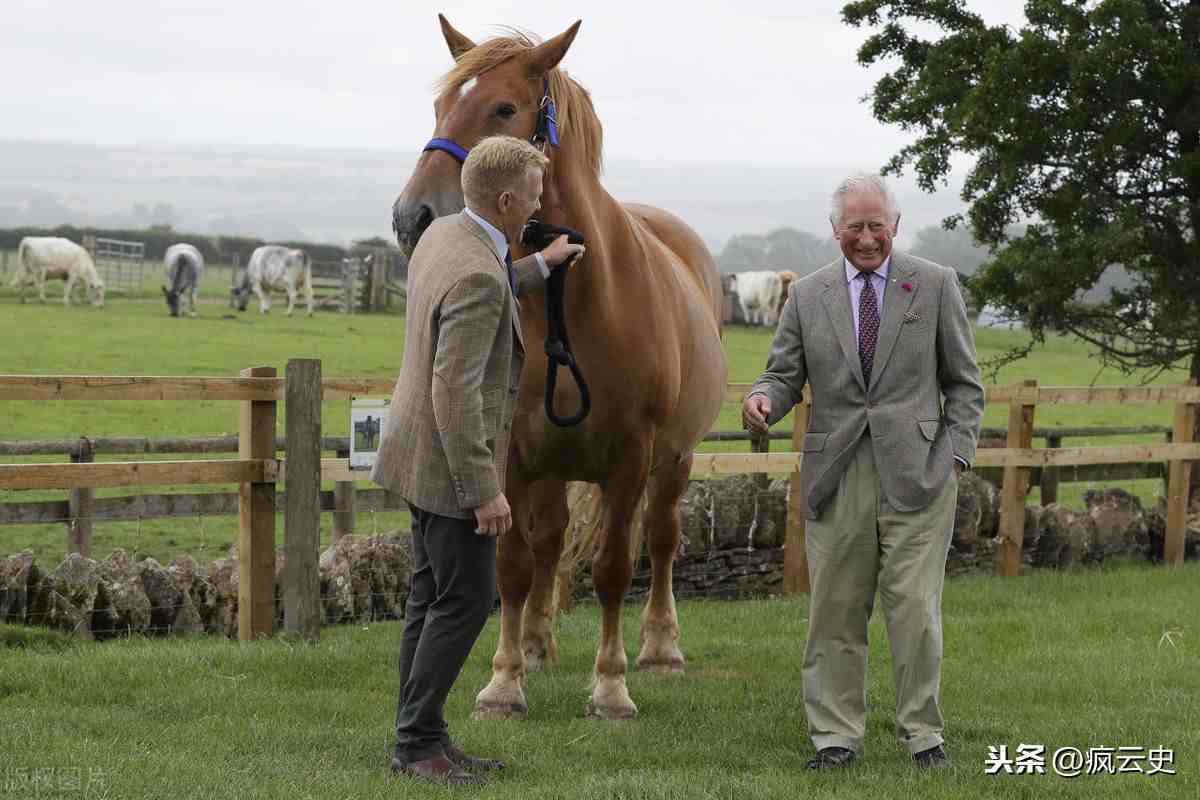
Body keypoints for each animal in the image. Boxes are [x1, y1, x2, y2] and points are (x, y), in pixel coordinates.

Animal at [393, 17, 724, 719]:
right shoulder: (512, 454)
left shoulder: (630, 457)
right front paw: (504, 681)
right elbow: (514, 565)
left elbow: (614, 568)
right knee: (548, 542)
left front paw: (611, 686)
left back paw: (660, 648)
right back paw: (538, 644)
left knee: (662, 539)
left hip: (673, 461)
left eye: (503, 109)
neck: (578, 300)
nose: (413, 218)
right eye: (440, 105)